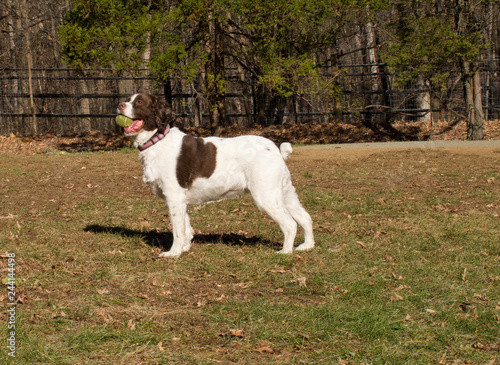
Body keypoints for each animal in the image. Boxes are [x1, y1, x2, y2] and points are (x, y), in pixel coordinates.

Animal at [116, 93, 312, 256]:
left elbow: (178, 230)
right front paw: (185, 248)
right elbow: (186, 228)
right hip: (284, 192)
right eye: (128, 99)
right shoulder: (180, 199)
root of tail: (276, 149)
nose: (119, 105)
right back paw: (307, 246)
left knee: (290, 223)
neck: (157, 141)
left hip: (266, 195)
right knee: (305, 217)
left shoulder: (174, 196)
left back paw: (285, 251)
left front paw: (174, 253)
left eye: (139, 102)